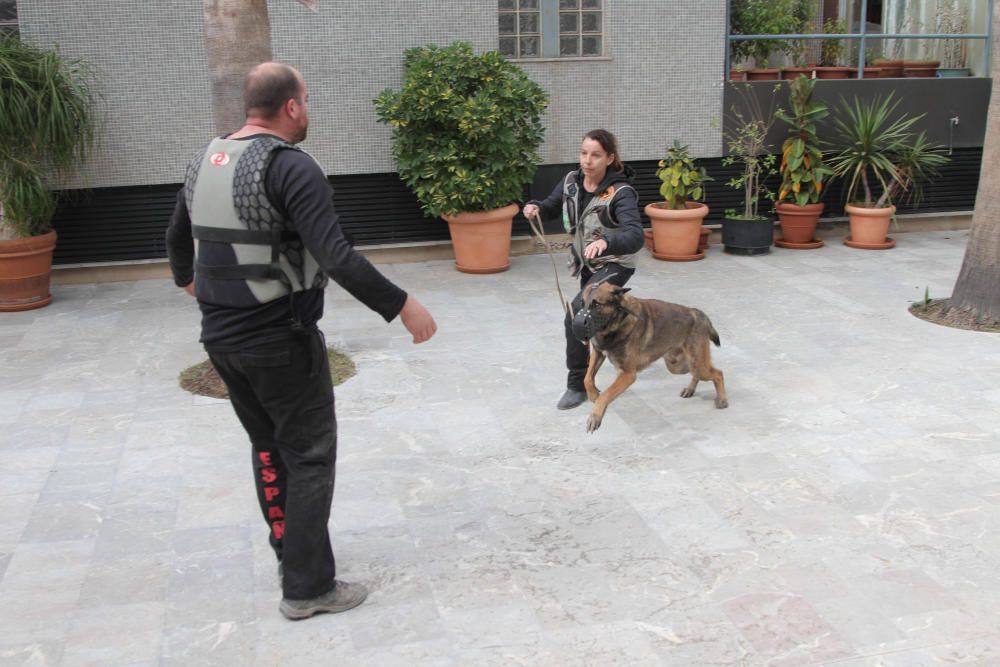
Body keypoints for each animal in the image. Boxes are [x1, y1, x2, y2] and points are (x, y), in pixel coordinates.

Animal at [580, 284, 728, 434]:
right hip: (678, 365)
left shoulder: (627, 375)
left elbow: (605, 395)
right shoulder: (598, 353)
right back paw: (690, 389)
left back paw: (722, 400)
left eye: (597, 304)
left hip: (696, 364)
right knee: (698, 373)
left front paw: (595, 415)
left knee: (718, 373)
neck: (618, 321)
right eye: (582, 303)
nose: (580, 324)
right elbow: (587, 378)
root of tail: (697, 313)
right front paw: (592, 395)